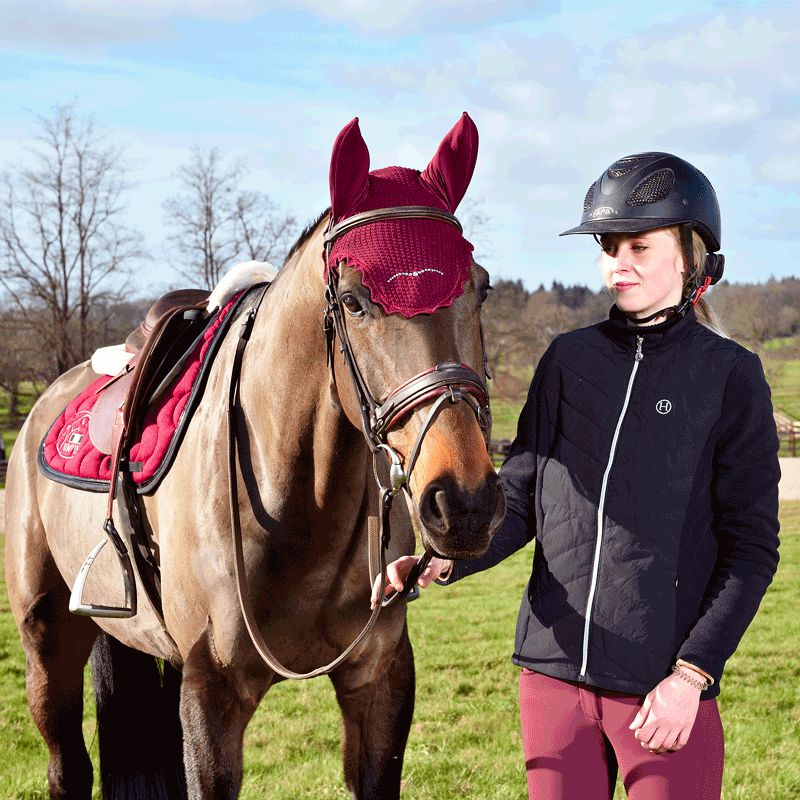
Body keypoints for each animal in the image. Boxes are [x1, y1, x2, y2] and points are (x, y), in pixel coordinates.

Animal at [3, 112, 505, 799]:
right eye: (354, 300)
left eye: (480, 289)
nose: (465, 502)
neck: (296, 500)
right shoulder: (211, 697)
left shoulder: (378, 680)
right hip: (47, 640)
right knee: (66, 767)